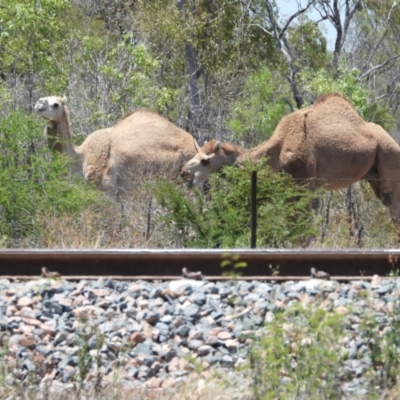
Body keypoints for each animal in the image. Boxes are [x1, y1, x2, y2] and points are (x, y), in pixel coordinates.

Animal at [181, 92, 400, 220]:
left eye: (205, 161)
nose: (184, 173)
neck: (276, 150)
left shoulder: (302, 185)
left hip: (389, 159)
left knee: (393, 205)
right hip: (373, 176)